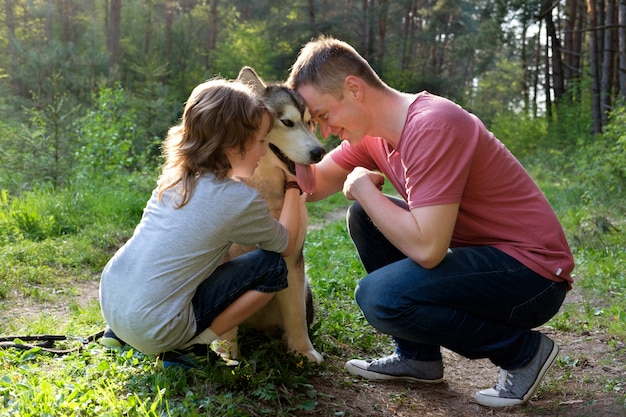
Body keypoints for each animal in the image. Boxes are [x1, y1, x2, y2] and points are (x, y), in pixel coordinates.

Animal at [213, 66, 322, 362]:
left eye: (310, 122)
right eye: (287, 122)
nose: (319, 152)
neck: (263, 192)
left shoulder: (292, 257)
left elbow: (295, 312)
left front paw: (303, 350)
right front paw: (226, 353)